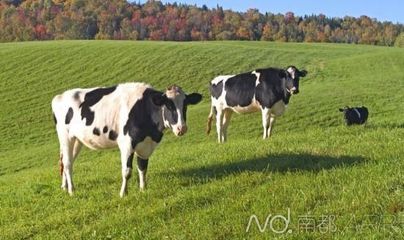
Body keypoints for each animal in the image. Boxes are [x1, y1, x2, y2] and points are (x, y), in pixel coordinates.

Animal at [51, 83, 202, 197]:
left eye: (185, 105)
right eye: (168, 105)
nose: (181, 128)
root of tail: (59, 96)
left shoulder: (146, 145)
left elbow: (142, 167)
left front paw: (143, 189)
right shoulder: (127, 143)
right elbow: (127, 171)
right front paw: (123, 193)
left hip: (77, 140)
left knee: (65, 161)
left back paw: (64, 186)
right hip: (65, 136)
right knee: (67, 163)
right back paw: (71, 190)